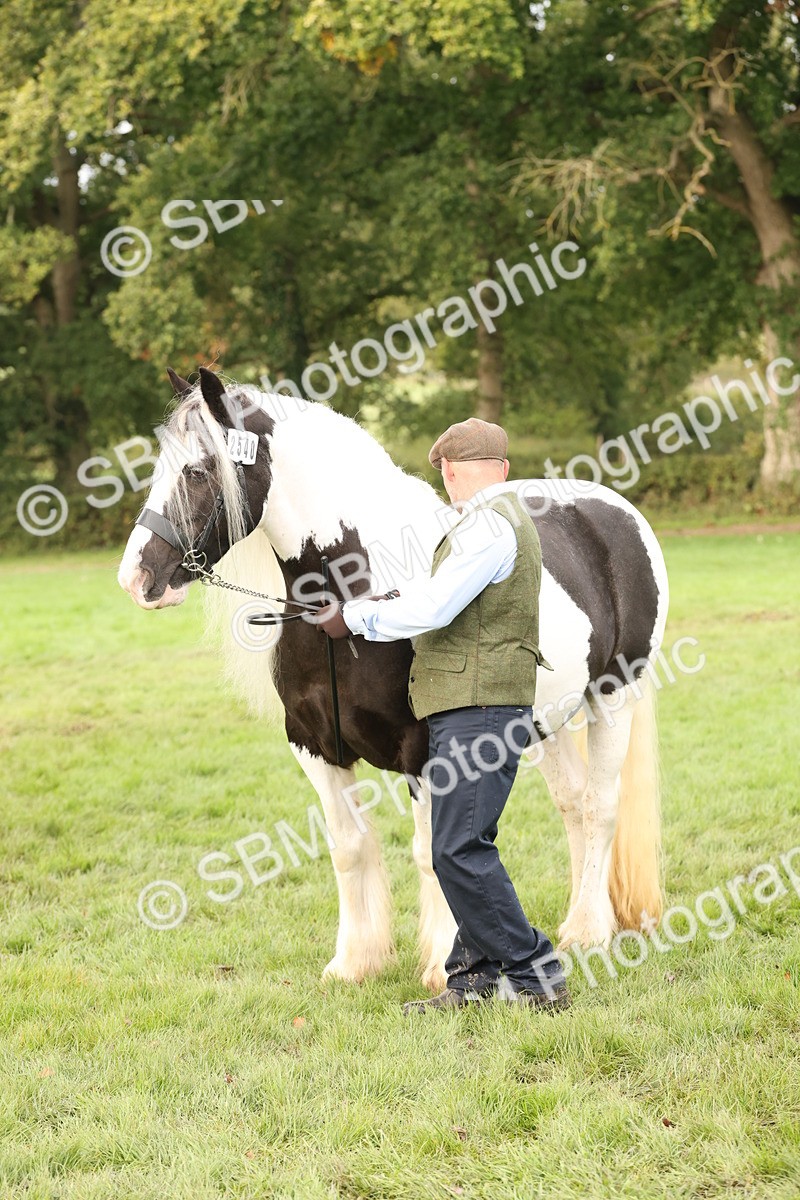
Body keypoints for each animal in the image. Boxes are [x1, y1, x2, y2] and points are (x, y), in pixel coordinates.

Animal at [118, 367, 669, 992]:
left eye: (197, 469)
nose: (137, 578)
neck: (346, 598)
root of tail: (614, 510)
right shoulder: (314, 746)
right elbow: (349, 848)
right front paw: (354, 962)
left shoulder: (425, 750)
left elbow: (432, 855)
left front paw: (442, 968)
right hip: (544, 719)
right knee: (573, 804)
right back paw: (577, 917)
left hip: (615, 697)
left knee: (601, 806)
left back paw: (589, 930)